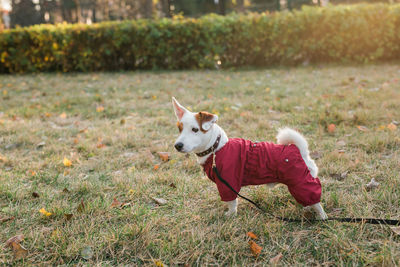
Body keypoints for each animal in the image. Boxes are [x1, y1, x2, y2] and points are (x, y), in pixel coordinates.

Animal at [172, 97, 328, 221]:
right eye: (179, 129)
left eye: (195, 129)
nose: (177, 146)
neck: (216, 148)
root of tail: (298, 150)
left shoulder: (227, 183)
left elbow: (232, 203)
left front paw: (231, 215)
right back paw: (307, 208)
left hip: (301, 182)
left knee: (316, 202)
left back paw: (321, 217)